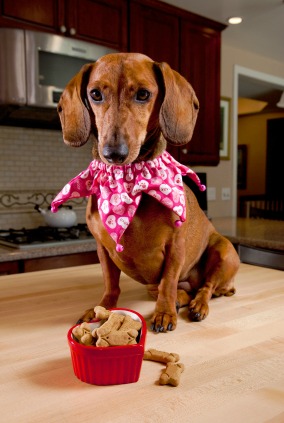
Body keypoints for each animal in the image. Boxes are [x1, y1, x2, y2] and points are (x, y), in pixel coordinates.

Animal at [56, 52, 240, 332]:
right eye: (95, 94)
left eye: (143, 94)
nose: (114, 153)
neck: (127, 181)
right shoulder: (103, 249)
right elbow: (111, 284)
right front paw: (102, 308)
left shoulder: (175, 248)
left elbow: (168, 282)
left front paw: (164, 313)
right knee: (182, 290)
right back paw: (182, 299)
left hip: (224, 251)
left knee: (206, 287)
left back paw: (197, 304)